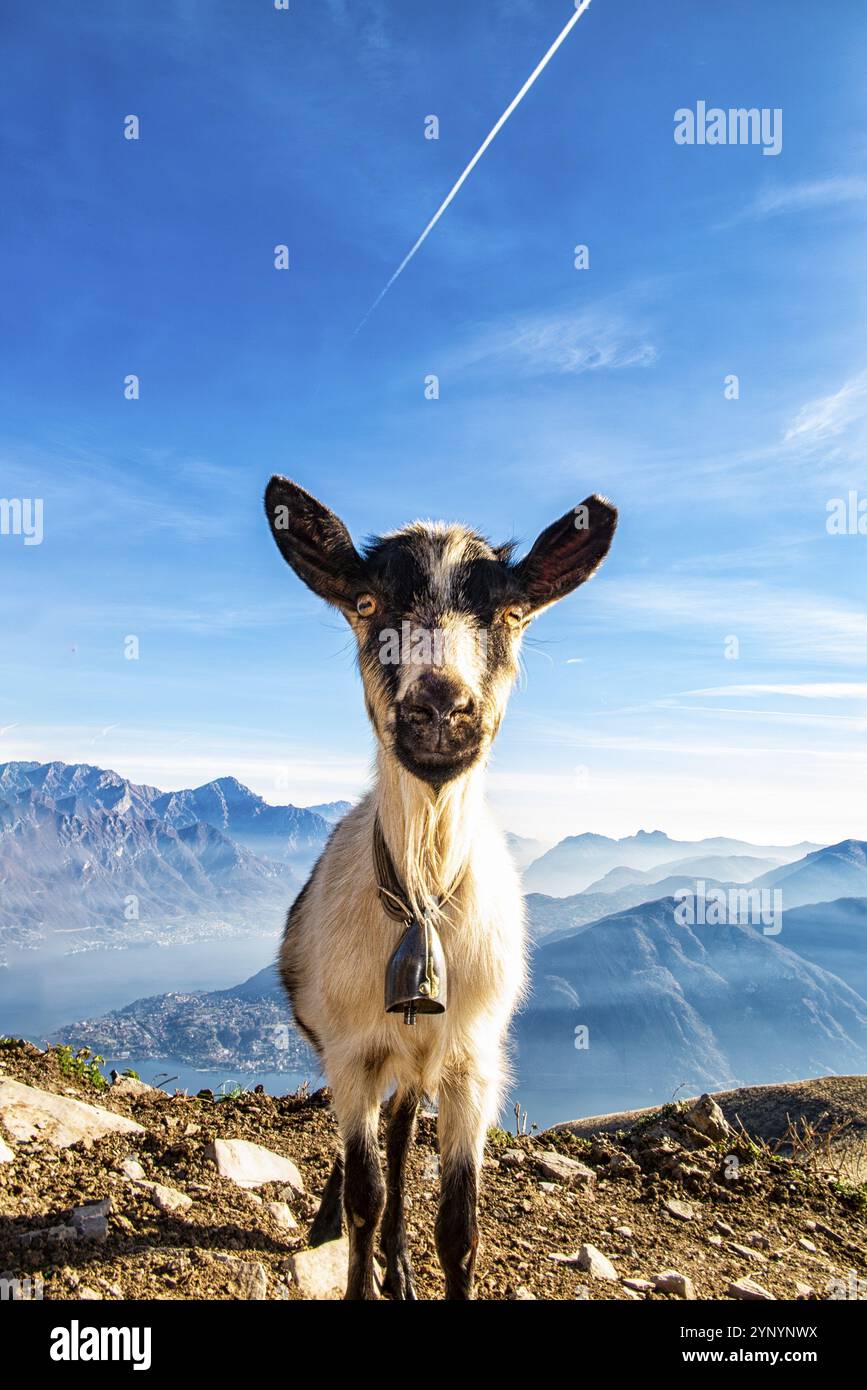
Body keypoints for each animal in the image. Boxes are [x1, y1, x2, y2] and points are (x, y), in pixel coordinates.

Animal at [263, 480, 616, 1301]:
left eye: (512, 612)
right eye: (365, 603)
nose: (439, 709)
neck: (422, 900)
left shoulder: (471, 1065)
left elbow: (459, 1227)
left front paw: (412, 1263)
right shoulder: (352, 1051)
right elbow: (364, 1193)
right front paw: (356, 1269)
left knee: (398, 1139)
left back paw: (399, 1266)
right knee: (367, 1155)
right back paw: (338, 1231)